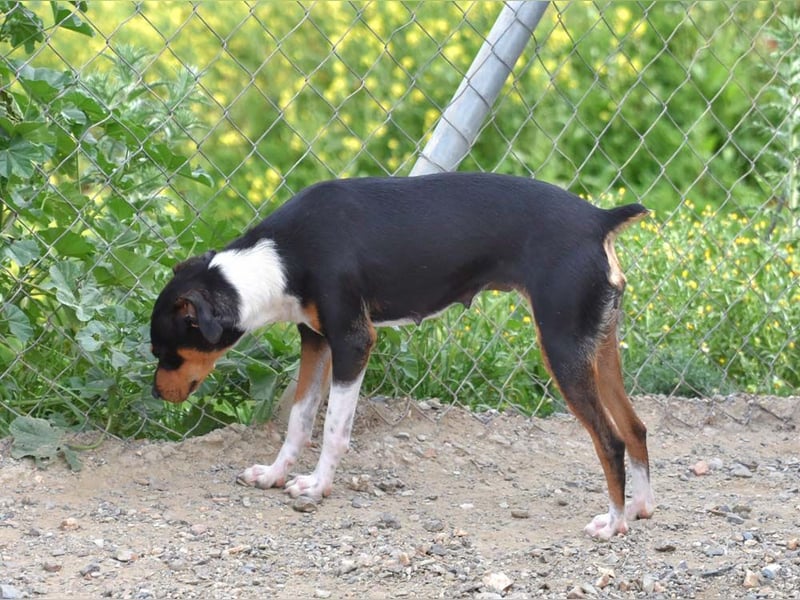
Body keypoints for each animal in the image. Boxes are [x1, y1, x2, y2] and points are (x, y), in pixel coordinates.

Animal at [150, 172, 655, 539]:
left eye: (164, 352)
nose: (155, 395)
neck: (281, 257)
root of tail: (598, 218)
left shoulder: (353, 343)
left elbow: (333, 429)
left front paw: (317, 486)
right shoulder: (315, 341)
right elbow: (299, 420)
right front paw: (275, 474)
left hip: (563, 349)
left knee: (610, 439)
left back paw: (613, 524)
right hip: (598, 349)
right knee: (635, 427)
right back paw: (640, 508)